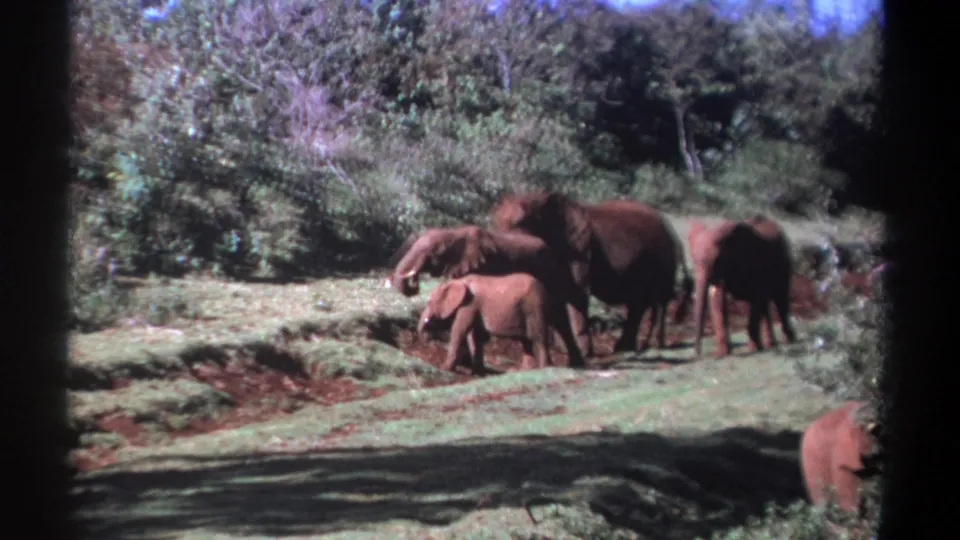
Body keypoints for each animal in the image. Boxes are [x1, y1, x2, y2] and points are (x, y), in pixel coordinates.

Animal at [417, 273, 584, 374]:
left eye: (429, 302)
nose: (426, 338)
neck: (458, 281)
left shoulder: (469, 305)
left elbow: (459, 330)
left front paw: (444, 369)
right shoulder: (474, 307)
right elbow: (475, 336)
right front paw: (477, 373)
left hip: (534, 307)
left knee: (537, 337)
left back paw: (543, 368)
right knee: (525, 340)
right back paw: (524, 370)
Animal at [489, 192, 693, 357]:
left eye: (520, 222)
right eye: (495, 223)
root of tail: (669, 226)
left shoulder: (579, 250)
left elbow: (575, 293)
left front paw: (583, 353)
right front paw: (564, 350)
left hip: (661, 257)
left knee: (658, 299)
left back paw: (652, 345)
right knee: (639, 302)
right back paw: (625, 348)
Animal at [687, 215, 797, 358]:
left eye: (716, 260)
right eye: (694, 261)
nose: (698, 354)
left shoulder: (753, 262)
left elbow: (757, 297)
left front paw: (754, 349)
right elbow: (718, 301)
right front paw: (721, 354)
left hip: (785, 265)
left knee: (780, 299)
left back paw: (787, 340)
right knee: (766, 305)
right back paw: (771, 344)